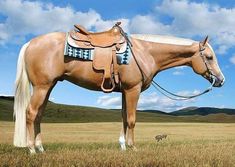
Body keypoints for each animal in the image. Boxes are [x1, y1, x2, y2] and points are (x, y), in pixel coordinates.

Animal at [13, 29, 225, 154]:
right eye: (209, 57)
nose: (221, 80)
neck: (145, 52)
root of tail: (30, 43)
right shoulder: (133, 89)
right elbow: (131, 119)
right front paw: (133, 147)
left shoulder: (124, 91)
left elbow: (123, 117)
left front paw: (123, 145)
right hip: (42, 86)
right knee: (30, 113)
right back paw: (31, 149)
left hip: (48, 86)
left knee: (39, 115)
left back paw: (41, 148)